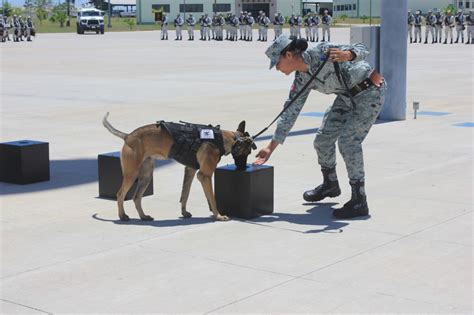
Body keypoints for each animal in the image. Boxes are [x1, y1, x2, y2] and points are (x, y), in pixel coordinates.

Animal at [103, 113, 256, 222]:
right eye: (248, 152)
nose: (243, 168)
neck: (224, 139)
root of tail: (128, 136)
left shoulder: (190, 171)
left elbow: (185, 194)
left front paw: (184, 212)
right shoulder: (204, 175)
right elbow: (212, 198)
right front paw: (218, 215)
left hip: (146, 176)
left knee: (136, 197)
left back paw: (143, 216)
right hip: (132, 174)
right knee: (120, 194)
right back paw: (122, 216)